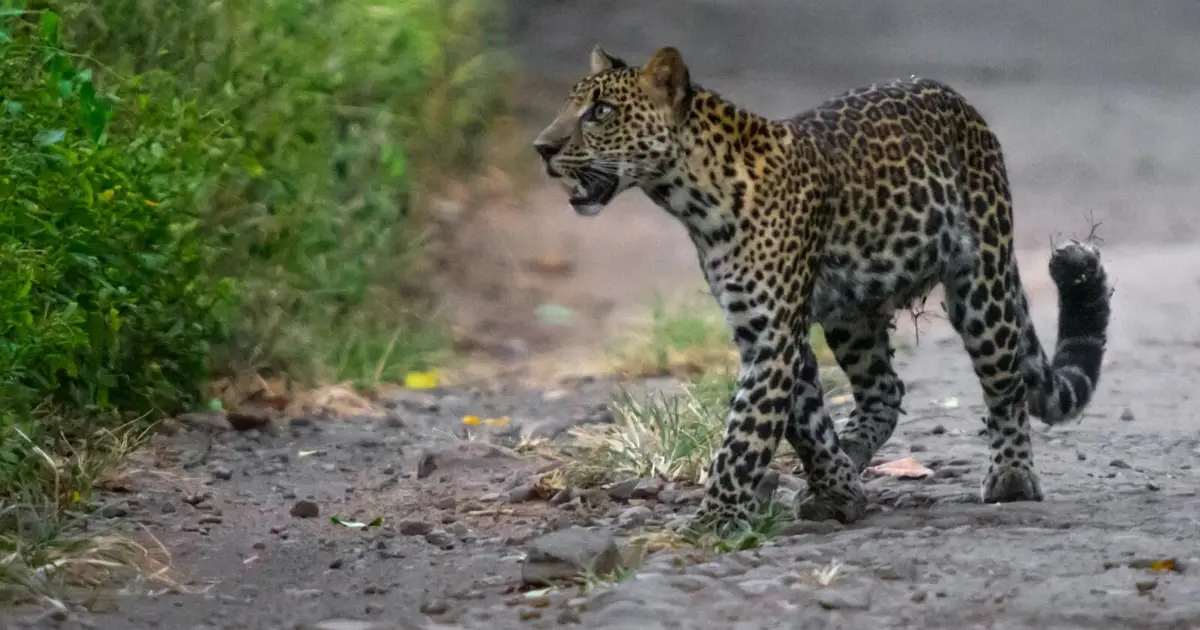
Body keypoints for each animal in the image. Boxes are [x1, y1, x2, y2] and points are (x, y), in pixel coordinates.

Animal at [532, 45, 1113, 533]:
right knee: (885, 390)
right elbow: (804, 422)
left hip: (981, 282)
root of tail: (959, 101)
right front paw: (835, 490)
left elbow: (745, 434)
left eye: (601, 112)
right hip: (851, 315)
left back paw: (1011, 476)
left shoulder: (772, 337)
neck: (691, 198)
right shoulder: (762, 328)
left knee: (1005, 385)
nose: (542, 147)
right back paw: (852, 459)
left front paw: (715, 520)